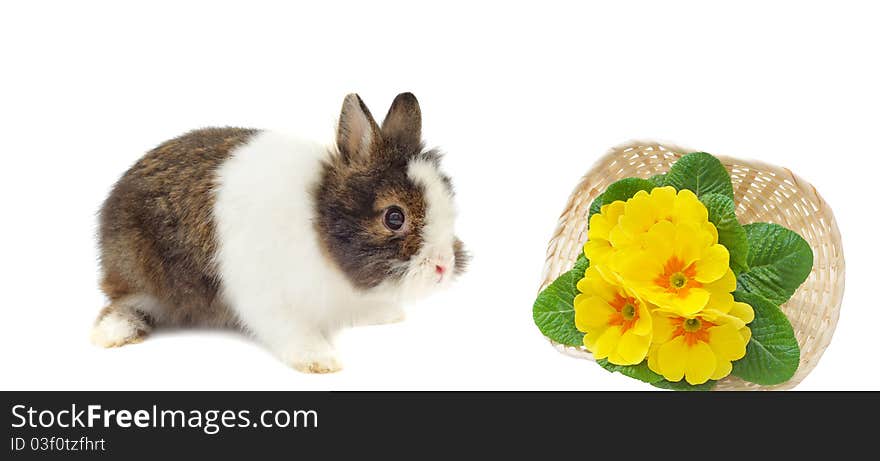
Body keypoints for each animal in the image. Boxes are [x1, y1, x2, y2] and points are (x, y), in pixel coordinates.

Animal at [89, 91, 468, 372]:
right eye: (394, 217)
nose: (444, 266)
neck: (317, 221)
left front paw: (386, 313)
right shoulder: (265, 294)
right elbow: (290, 329)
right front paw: (319, 360)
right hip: (139, 269)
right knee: (125, 303)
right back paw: (114, 332)